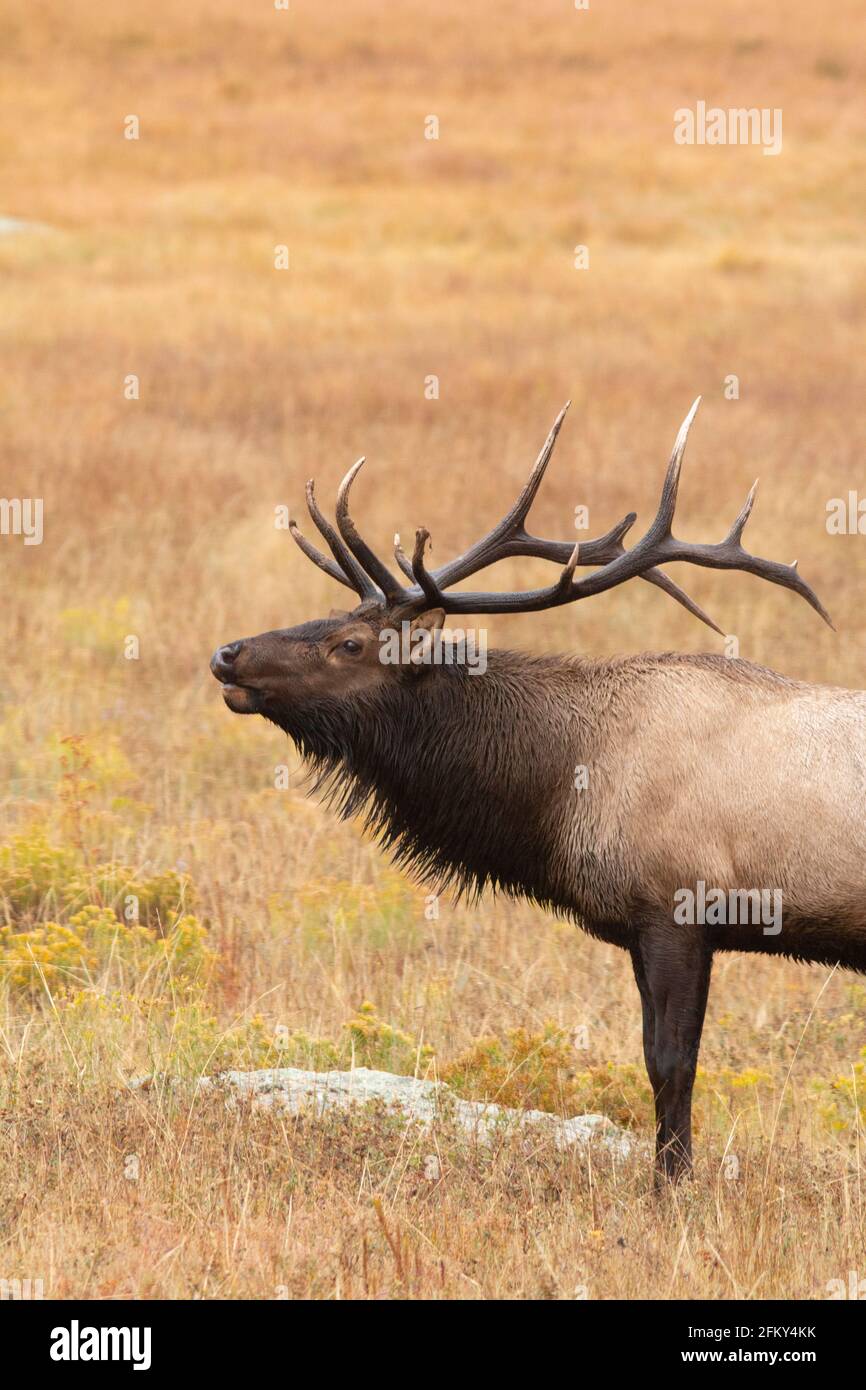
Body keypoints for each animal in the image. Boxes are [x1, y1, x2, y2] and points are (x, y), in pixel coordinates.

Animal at [210, 399, 862, 1182]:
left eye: (350, 644)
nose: (226, 653)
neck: (564, 785)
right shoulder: (645, 926)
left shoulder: (678, 908)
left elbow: (672, 1064)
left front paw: (671, 1187)